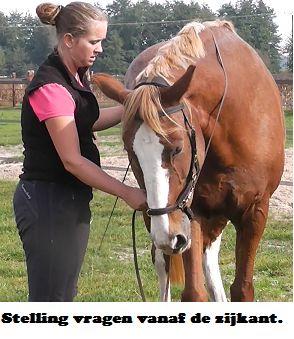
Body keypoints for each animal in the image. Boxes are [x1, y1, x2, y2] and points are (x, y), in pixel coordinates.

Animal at [92, 19, 284, 302]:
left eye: (177, 148)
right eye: (130, 152)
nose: (169, 235)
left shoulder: (255, 211)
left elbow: (242, 289)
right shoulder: (191, 214)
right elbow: (193, 292)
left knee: (208, 258)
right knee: (163, 262)